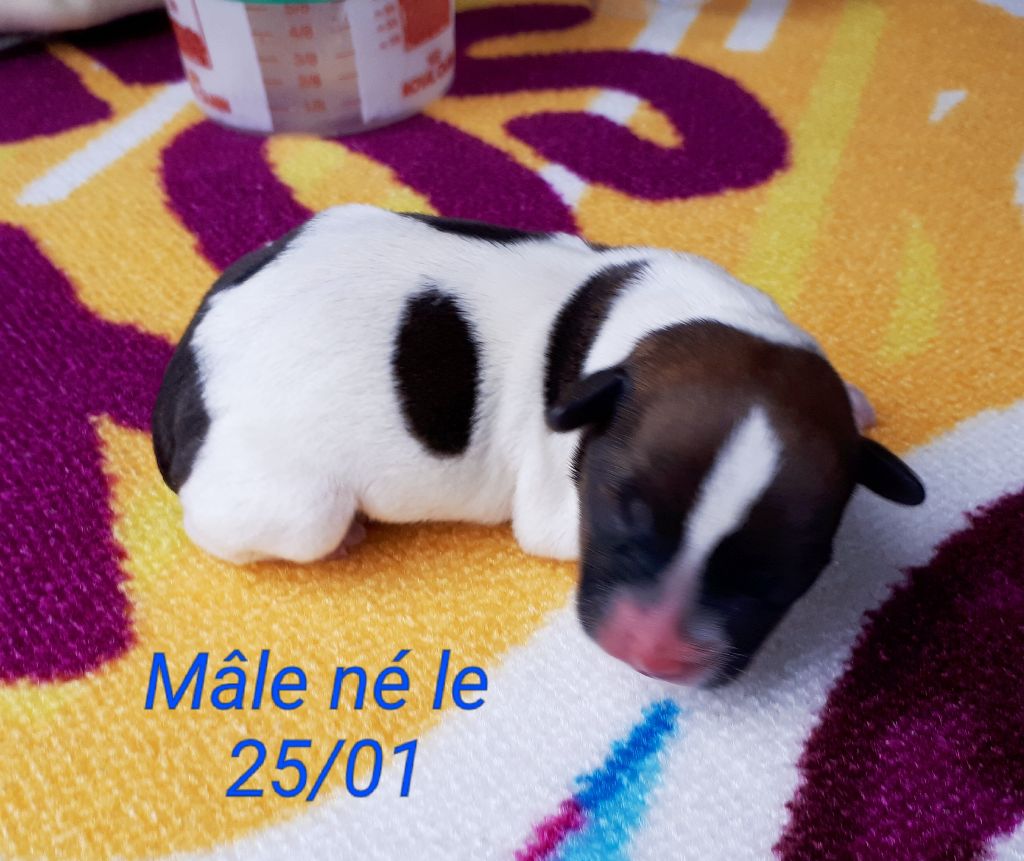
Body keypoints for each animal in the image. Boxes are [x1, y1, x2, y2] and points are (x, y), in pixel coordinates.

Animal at [153, 205, 925, 685]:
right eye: (618, 515)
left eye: (776, 574)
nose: (651, 656)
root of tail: (184, 379)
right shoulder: (556, 508)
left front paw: (856, 399)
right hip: (296, 508)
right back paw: (344, 536)